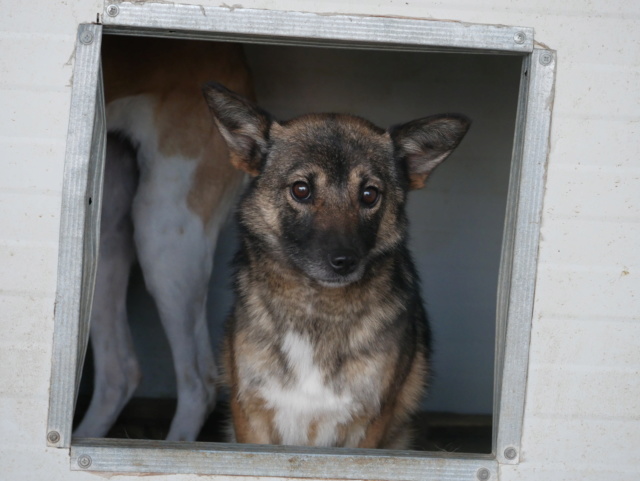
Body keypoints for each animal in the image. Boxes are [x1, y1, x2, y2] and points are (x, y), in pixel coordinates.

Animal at [204, 81, 470, 446]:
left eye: (370, 195)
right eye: (301, 189)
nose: (344, 262)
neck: (317, 310)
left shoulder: (368, 425)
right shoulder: (251, 417)